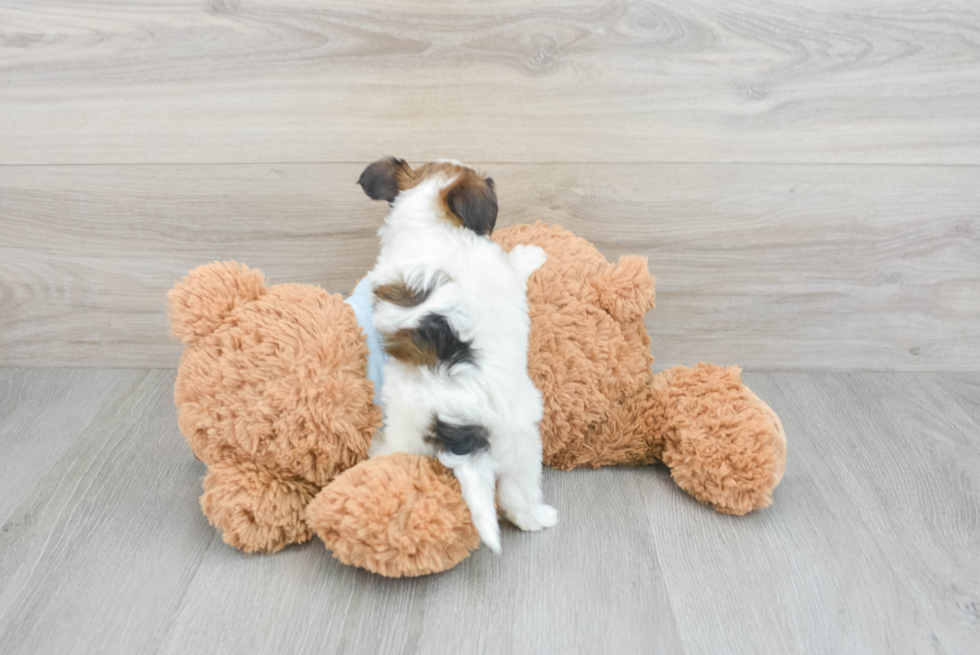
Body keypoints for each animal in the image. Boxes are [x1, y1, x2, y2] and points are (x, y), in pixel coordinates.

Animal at [360, 159, 560, 552]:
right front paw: (531, 254)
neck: (429, 227)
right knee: (516, 494)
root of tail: (454, 423)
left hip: (409, 433)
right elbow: (513, 267)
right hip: (521, 439)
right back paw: (540, 517)